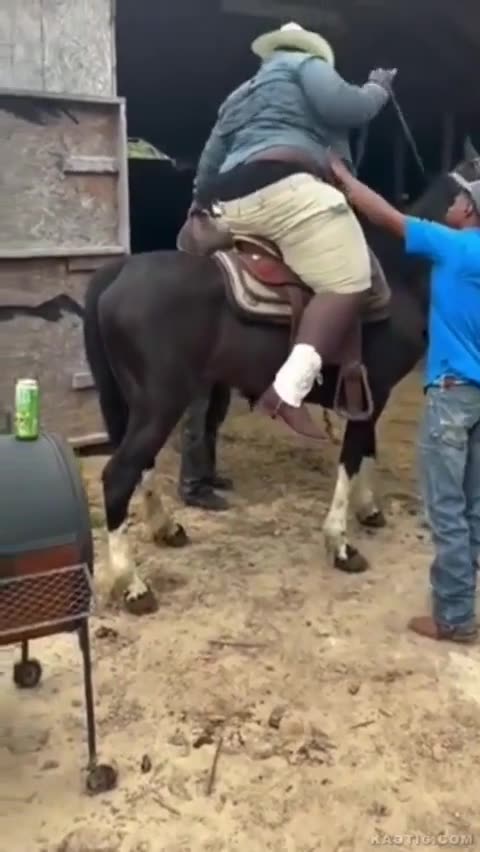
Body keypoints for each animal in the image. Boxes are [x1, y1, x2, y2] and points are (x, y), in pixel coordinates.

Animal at [83, 140, 480, 615]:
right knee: (118, 476)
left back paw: (167, 528)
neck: (403, 275)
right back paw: (134, 585)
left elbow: (365, 450)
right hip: (160, 403)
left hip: (135, 405)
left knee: (139, 468)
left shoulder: (372, 394)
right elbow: (351, 459)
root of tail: (117, 272)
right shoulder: (371, 390)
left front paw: (368, 511)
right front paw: (341, 544)